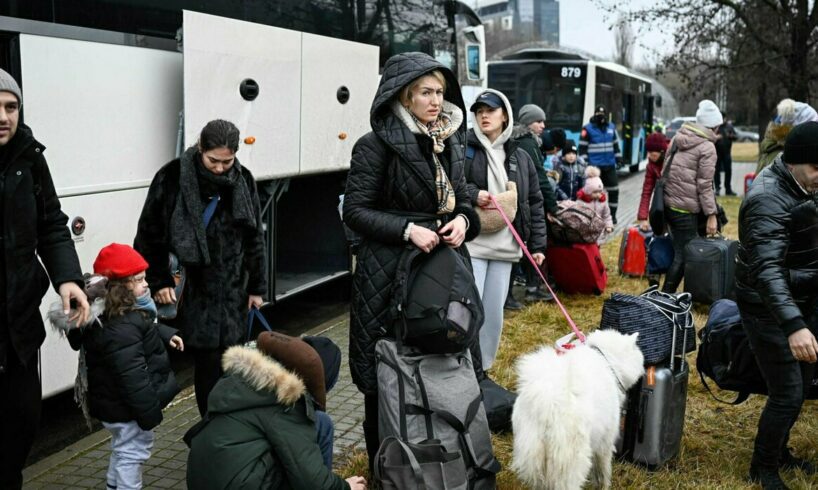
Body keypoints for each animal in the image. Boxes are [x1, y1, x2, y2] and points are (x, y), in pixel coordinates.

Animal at [510, 330, 644, 490]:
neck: (607, 359)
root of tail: (547, 404)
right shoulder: (605, 442)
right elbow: (603, 471)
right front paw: (604, 486)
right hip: (570, 462)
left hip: (534, 457)